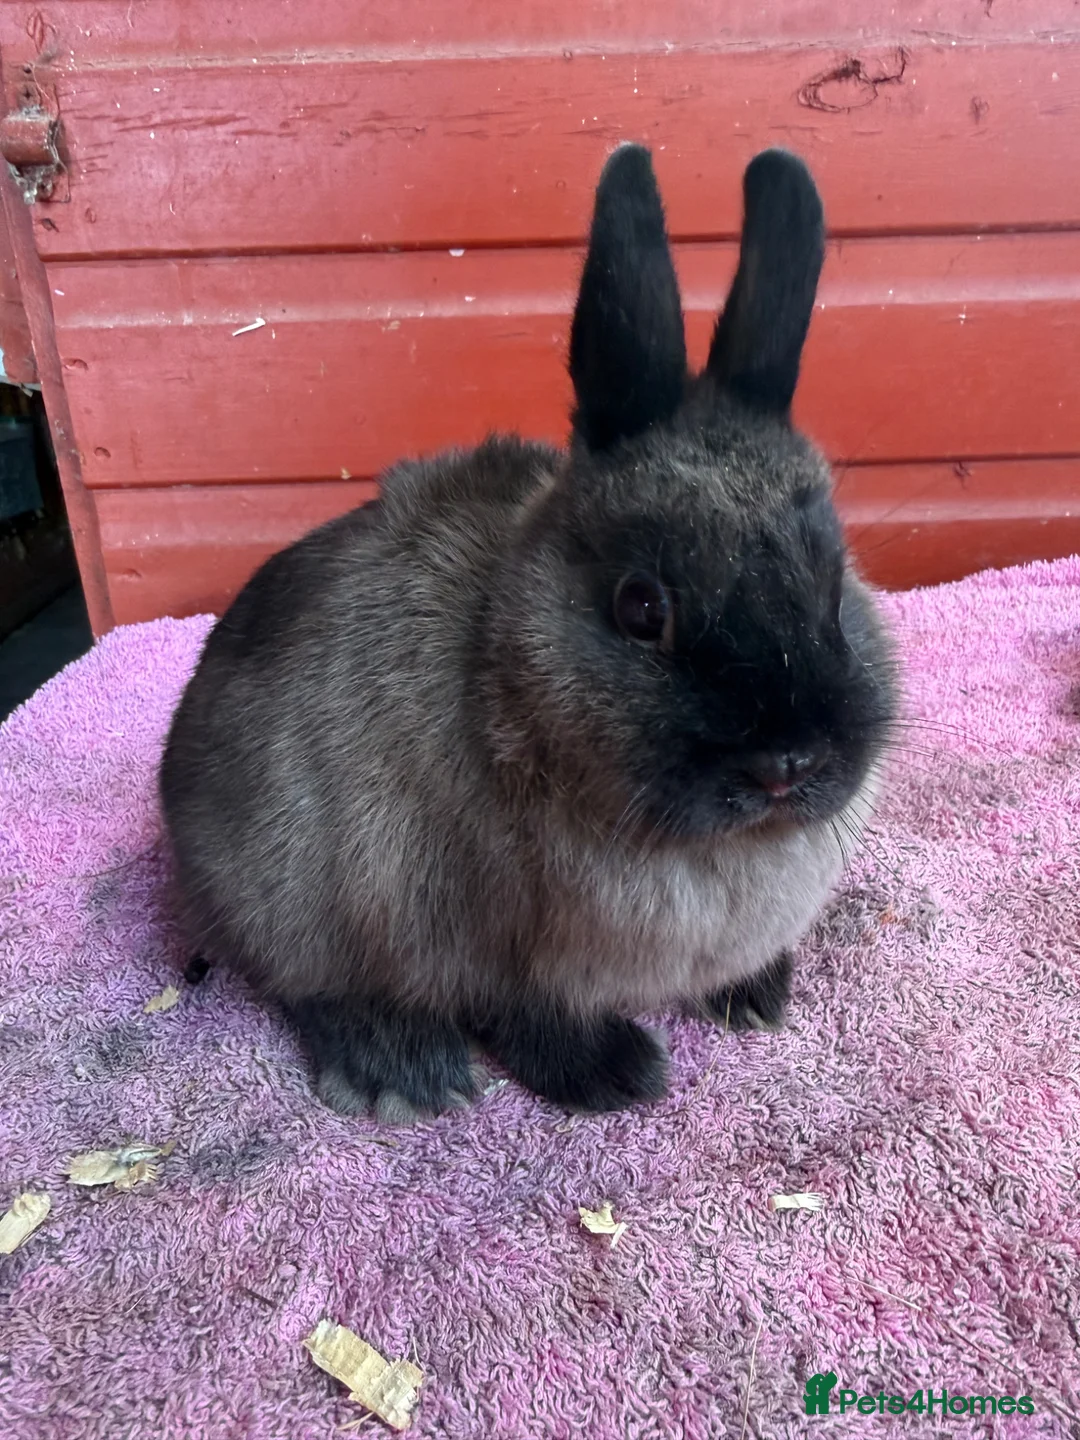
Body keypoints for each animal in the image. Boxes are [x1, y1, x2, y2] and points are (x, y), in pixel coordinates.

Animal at [159, 143, 896, 1120]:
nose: (788, 763)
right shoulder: (484, 944)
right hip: (284, 895)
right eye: (640, 608)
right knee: (307, 982)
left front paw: (756, 995)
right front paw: (620, 1075)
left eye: (834, 581)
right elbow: (522, 1016)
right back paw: (404, 1074)